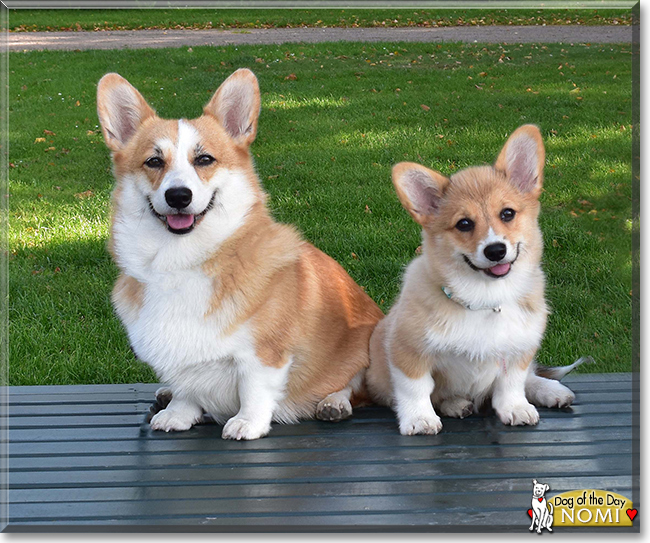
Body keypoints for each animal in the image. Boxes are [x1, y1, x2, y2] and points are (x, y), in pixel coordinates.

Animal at [95, 69, 380, 442]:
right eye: (154, 161)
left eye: (204, 159)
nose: (178, 196)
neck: (180, 260)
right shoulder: (183, 358)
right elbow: (187, 386)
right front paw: (179, 413)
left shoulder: (264, 354)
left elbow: (254, 388)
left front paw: (247, 423)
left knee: (354, 386)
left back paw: (334, 403)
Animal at [364, 125, 588, 436]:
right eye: (464, 224)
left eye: (507, 213)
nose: (495, 251)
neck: (485, 299)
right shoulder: (407, 350)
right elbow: (415, 388)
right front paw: (419, 419)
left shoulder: (519, 350)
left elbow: (512, 383)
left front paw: (516, 408)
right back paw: (456, 404)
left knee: (531, 377)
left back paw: (550, 390)